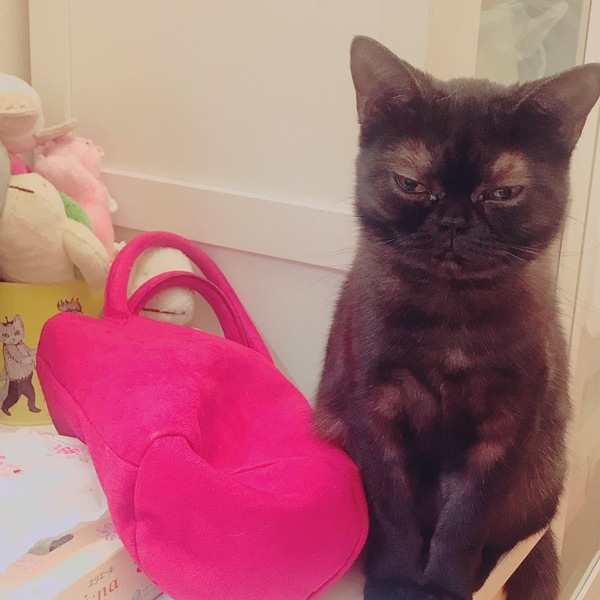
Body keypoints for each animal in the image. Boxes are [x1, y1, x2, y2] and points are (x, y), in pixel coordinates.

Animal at [314, 36, 600, 600]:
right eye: (410, 183)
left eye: (503, 192)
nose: (452, 220)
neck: (449, 318)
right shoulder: (375, 414)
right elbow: (395, 514)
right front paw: (394, 582)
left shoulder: (503, 430)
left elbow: (463, 524)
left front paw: (444, 586)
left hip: (536, 481)